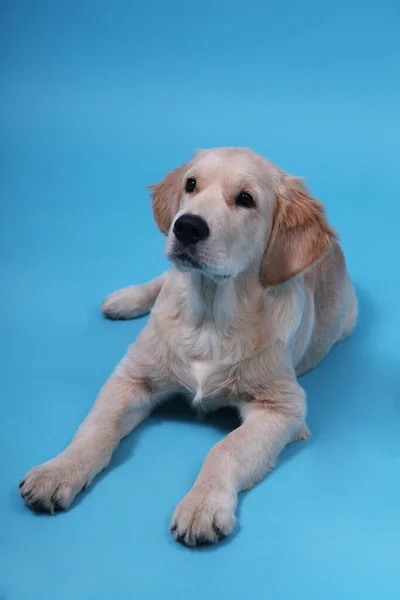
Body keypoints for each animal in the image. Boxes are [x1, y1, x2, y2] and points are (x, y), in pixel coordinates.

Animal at [19, 148, 356, 548]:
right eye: (191, 184)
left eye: (246, 199)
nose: (187, 227)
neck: (209, 318)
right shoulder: (130, 377)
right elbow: (97, 427)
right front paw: (58, 471)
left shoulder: (283, 408)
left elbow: (224, 449)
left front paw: (203, 504)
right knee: (163, 278)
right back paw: (124, 299)